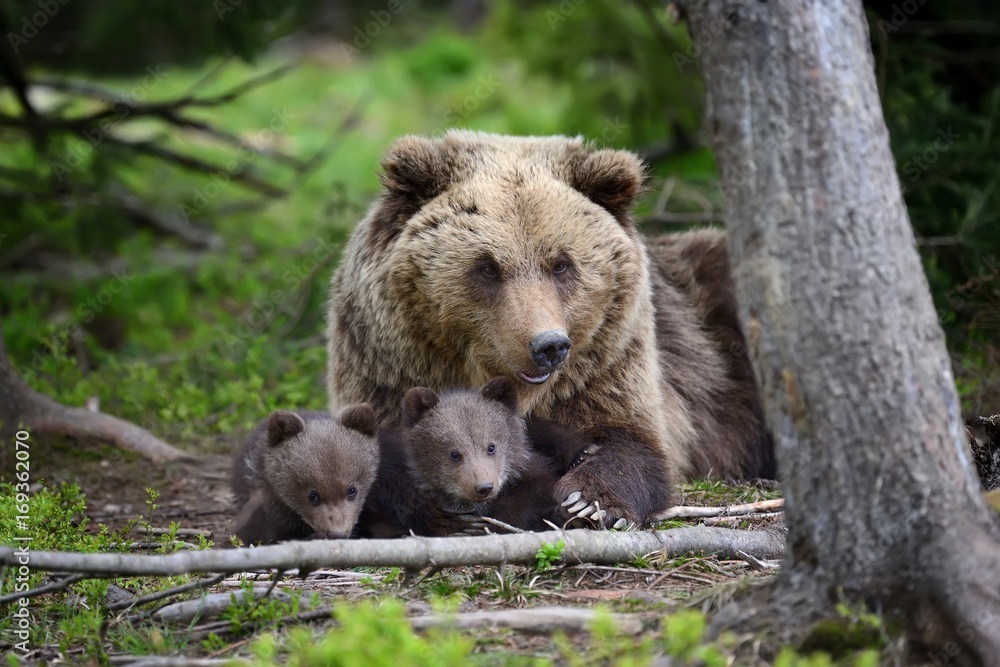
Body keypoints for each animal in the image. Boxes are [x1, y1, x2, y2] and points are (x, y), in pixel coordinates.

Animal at [328, 130, 772, 528]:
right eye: (487, 267)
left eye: (561, 264)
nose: (549, 346)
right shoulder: (387, 372)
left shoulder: (607, 366)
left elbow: (634, 445)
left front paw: (589, 500)